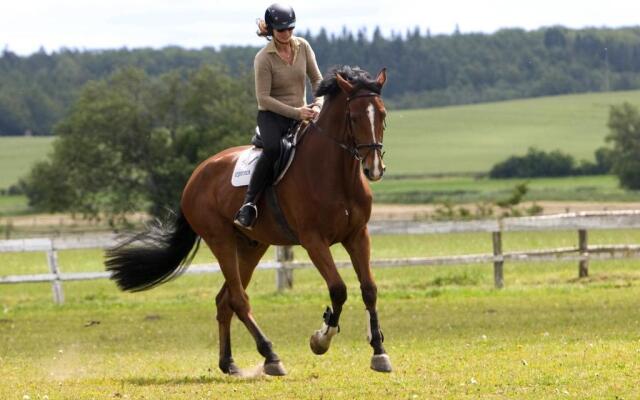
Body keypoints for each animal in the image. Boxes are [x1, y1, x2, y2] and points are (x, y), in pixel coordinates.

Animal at [106, 65, 390, 376]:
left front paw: (379, 351)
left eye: (383, 114)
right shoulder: (313, 241)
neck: (336, 175)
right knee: (238, 300)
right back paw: (271, 356)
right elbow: (338, 289)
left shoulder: (357, 235)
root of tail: (196, 175)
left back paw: (229, 362)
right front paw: (321, 339)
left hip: (251, 246)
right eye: (354, 117)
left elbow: (369, 289)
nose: (374, 168)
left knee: (224, 300)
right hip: (221, 241)